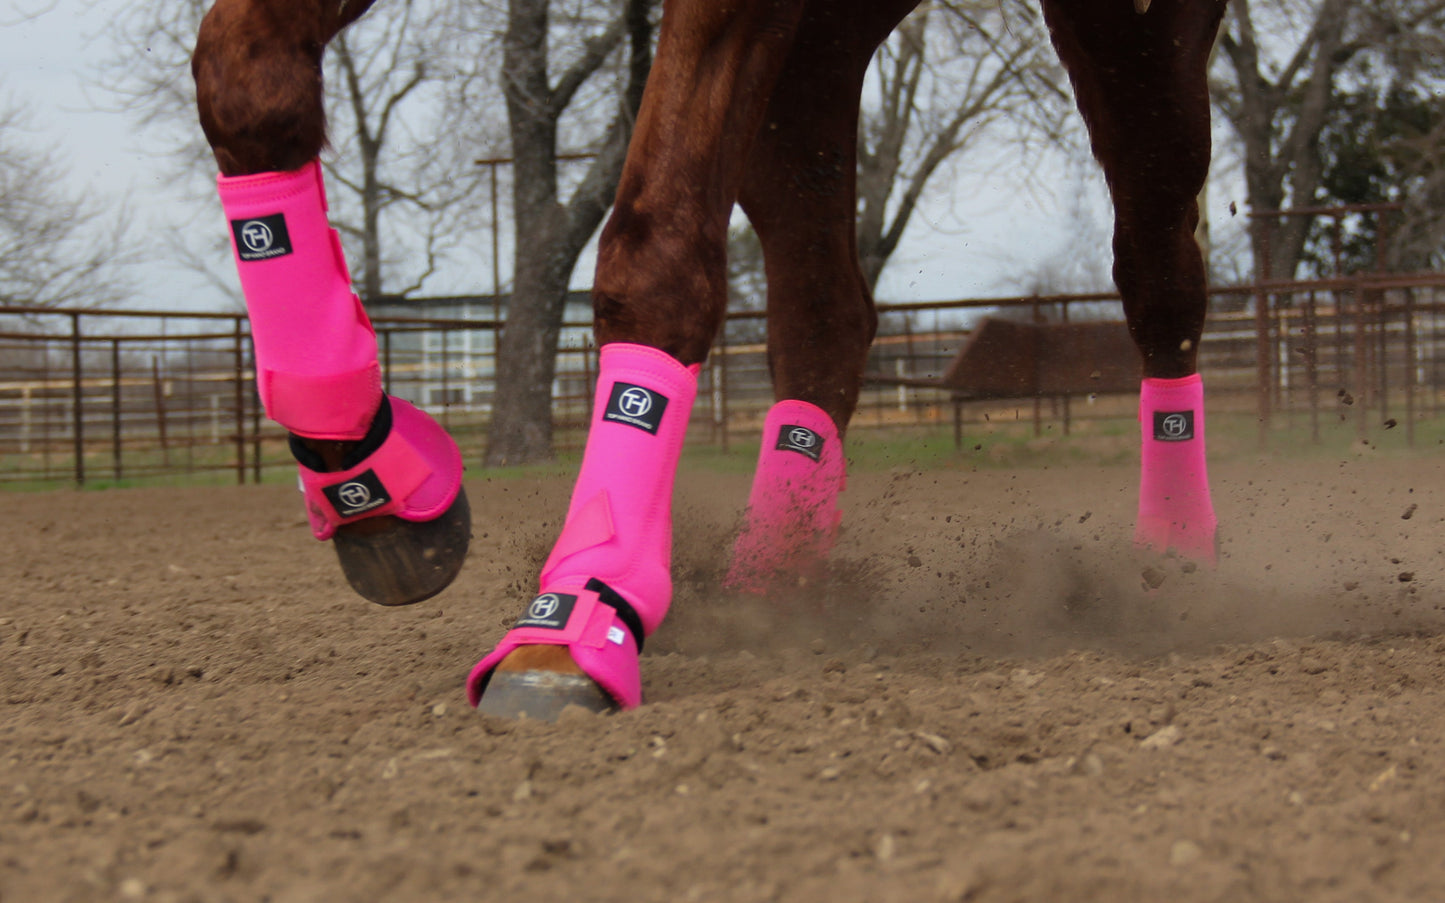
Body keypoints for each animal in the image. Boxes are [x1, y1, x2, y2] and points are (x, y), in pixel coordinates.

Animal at [192, 0, 1225, 719]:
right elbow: (243, 73)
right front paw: (368, 471)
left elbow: (653, 248)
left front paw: (573, 617)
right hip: (810, 69)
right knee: (826, 314)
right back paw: (772, 585)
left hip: (1135, 42)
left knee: (1161, 279)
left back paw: (1178, 555)